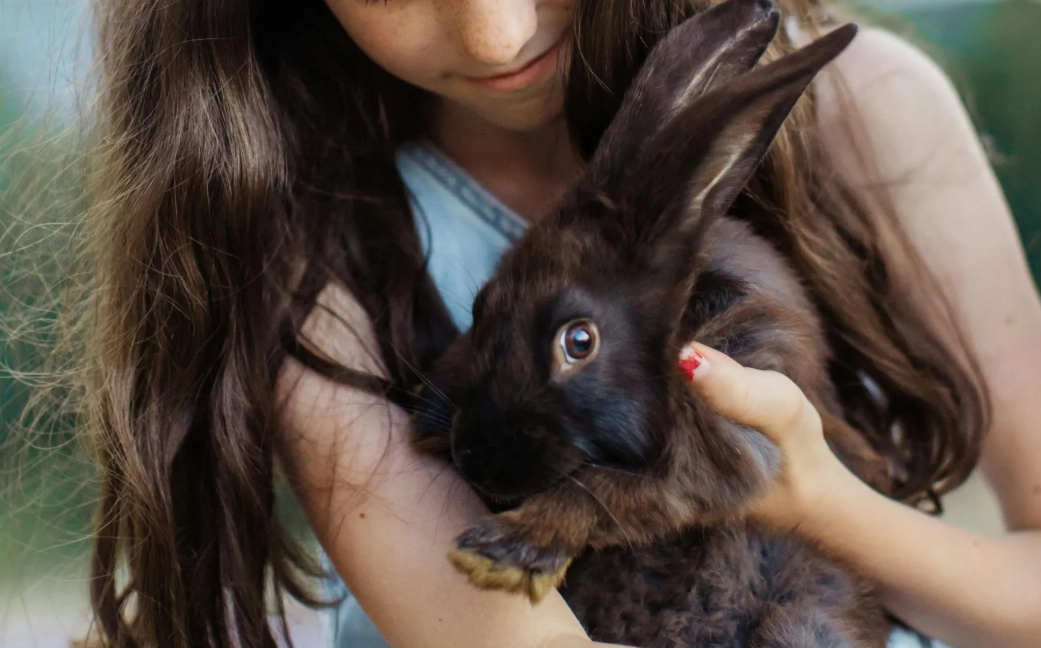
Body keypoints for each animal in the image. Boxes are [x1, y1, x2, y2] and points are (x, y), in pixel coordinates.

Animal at [411, 0, 893, 645]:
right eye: (480, 307)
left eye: (579, 341)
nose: (475, 458)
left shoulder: (725, 441)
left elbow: (609, 490)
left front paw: (503, 553)